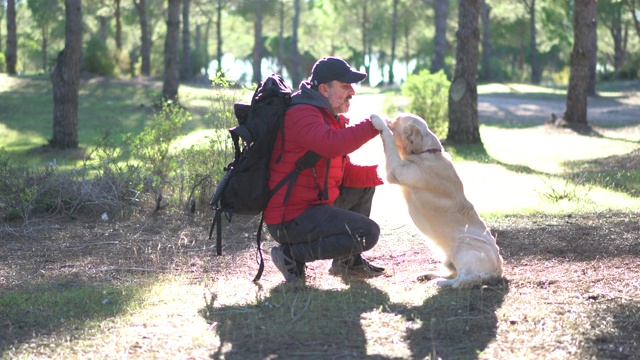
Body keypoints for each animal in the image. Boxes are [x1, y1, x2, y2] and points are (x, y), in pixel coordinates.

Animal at [372, 114, 502, 288]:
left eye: (397, 119)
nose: (388, 116)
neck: (426, 152)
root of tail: (497, 271)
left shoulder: (396, 170)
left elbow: (389, 137)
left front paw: (378, 121)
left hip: (463, 245)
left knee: (460, 279)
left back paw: (439, 282)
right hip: (450, 257)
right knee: (453, 273)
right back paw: (428, 275)